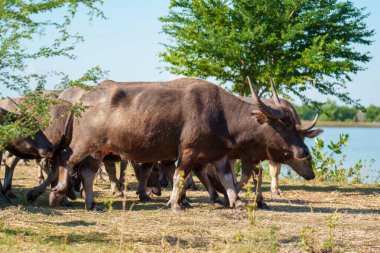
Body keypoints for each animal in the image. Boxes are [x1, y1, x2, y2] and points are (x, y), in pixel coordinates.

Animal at [49, 78, 314, 212]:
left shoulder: (219, 155)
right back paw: (57, 193)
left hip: (99, 150)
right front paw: (176, 204)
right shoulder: (187, 151)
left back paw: (91, 203)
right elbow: (179, 176)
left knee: (87, 172)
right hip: (83, 143)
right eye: (285, 125)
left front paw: (236, 201)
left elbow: (228, 179)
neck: (222, 115)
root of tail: (82, 99)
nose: (304, 151)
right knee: (65, 159)